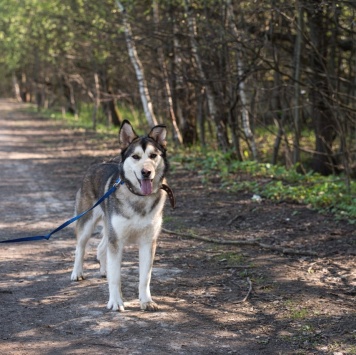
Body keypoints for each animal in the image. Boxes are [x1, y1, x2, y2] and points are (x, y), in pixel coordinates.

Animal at [70, 119, 174, 312]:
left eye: (153, 155)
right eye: (136, 157)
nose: (146, 172)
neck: (138, 197)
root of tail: (97, 164)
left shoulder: (148, 242)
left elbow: (145, 277)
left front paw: (146, 301)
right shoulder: (116, 241)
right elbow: (116, 277)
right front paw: (116, 302)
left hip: (109, 229)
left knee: (100, 248)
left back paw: (104, 270)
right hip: (87, 223)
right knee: (80, 248)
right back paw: (77, 272)